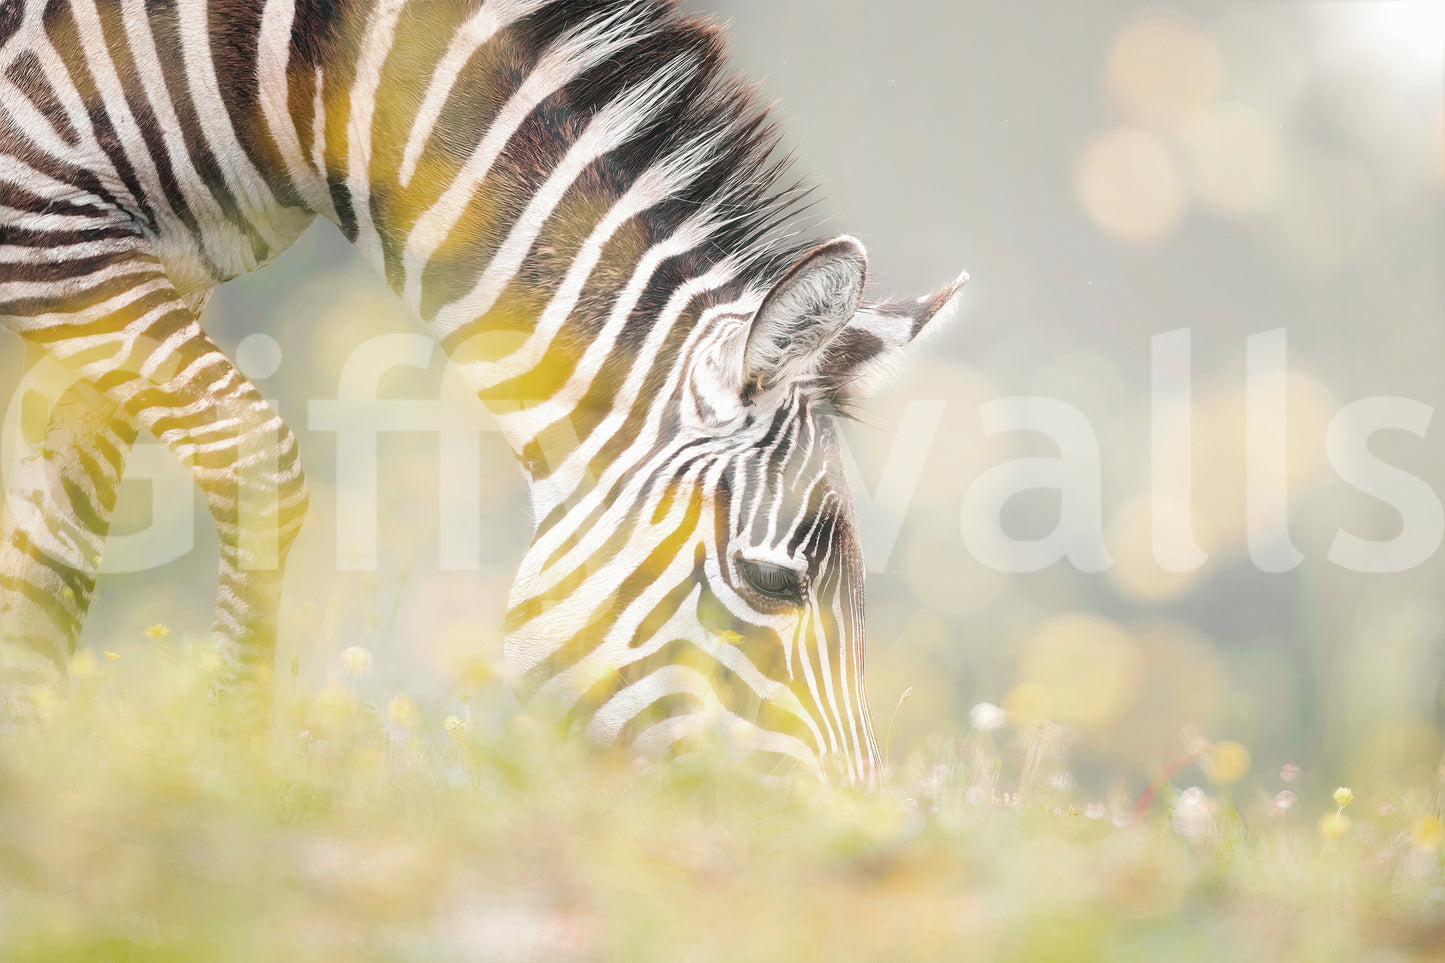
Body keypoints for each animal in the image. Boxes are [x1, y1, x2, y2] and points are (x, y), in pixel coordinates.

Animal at [0, 0, 964, 785]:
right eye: (772, 584)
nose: (854, 822)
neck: (301, 83)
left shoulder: (154, 267)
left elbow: (51, 555)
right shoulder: (47, 232)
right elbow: (250, 458)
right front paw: (226, 770)